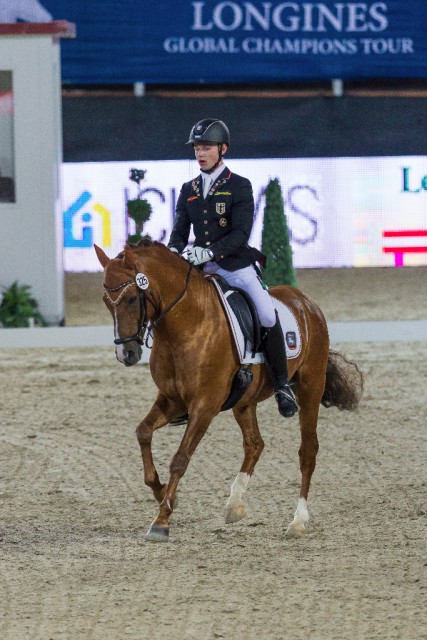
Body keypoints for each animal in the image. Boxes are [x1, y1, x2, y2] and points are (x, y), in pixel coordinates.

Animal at [94, 238, 363, 542]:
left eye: (131, 298)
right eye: (106, 301)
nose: (126, 354)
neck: (187, 323)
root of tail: (307, 303)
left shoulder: (205, 405)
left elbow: (180, 459)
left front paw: (161, 520)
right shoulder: (172, 399)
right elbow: (142, 433)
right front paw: (163, 494)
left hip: (310, 389)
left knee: (308, 451)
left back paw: (298, 521)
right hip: (244, 401)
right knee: (255, 444)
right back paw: (234, 505)